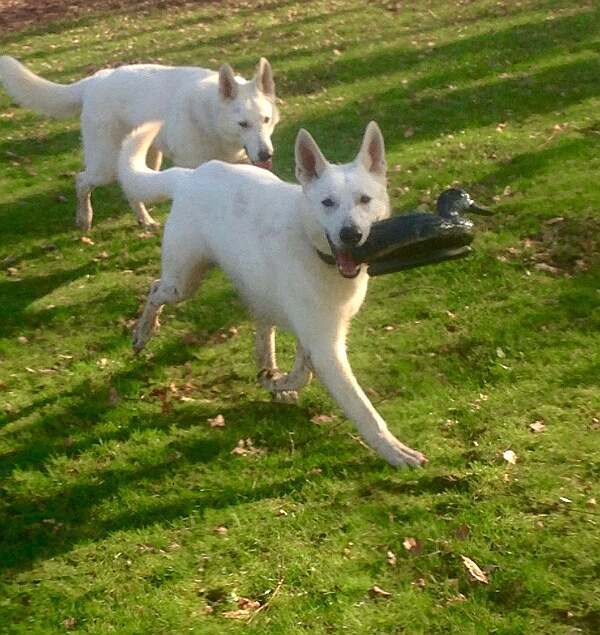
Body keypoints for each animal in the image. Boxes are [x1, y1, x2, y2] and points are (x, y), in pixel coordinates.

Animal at [117, 120, 426, 468]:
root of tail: (192, 175)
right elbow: (364, 411)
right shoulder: (326, 348)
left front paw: (277, 382)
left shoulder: (319, 337)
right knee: (156, 289)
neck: (317, 253)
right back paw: (143, 333)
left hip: (250, 288)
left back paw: (269, 373)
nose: (351, 234)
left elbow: (302, 372)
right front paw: (395, 451)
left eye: (364, 199)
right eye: (327, 203)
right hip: (182, 283)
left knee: (262, 332)